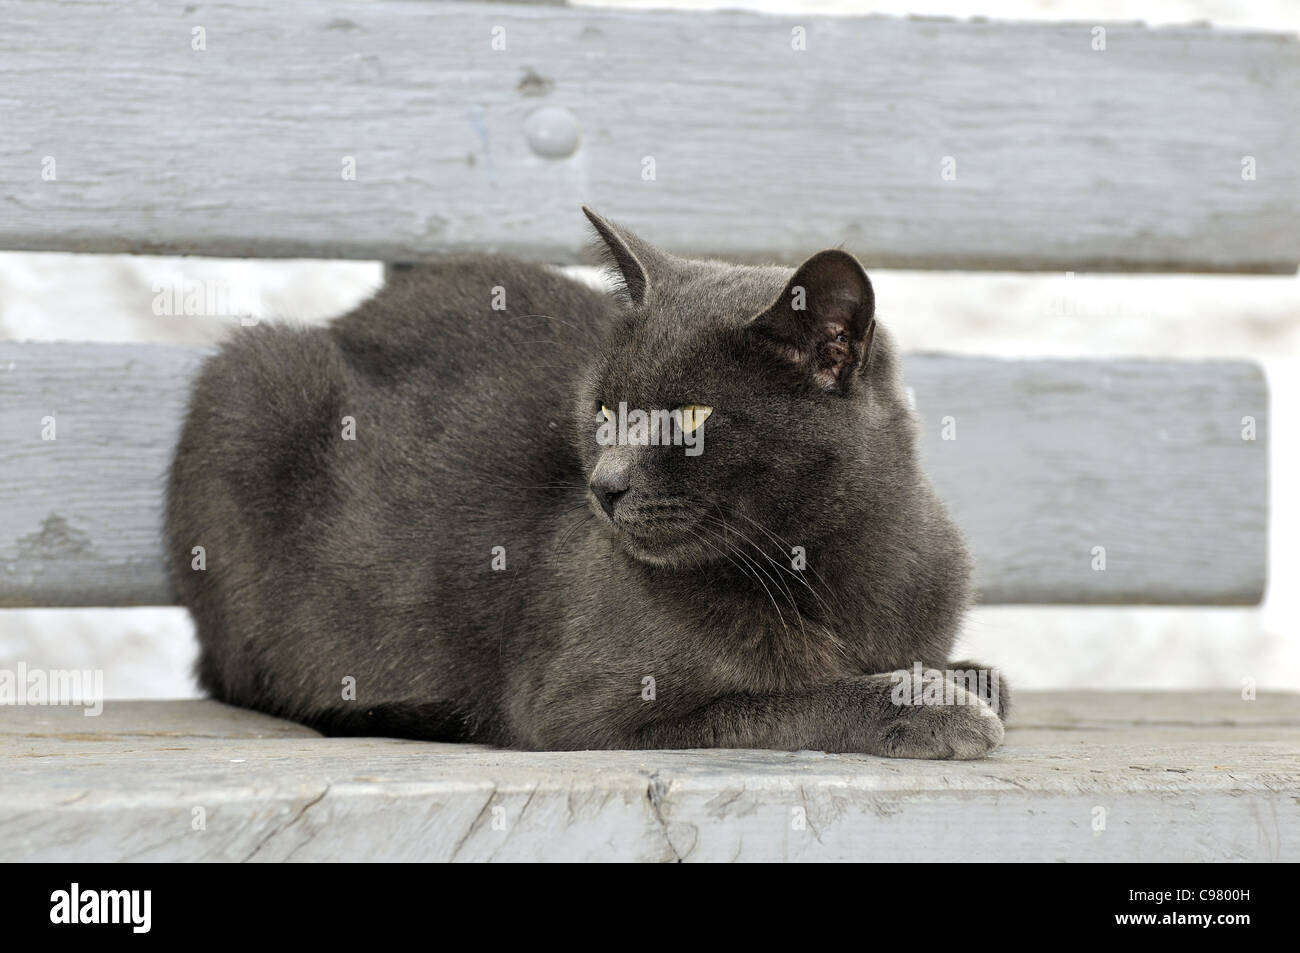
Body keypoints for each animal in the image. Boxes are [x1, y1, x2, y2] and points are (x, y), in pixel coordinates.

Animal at [167, 208, 1008, 759]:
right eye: (605, 410)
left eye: (691, 416)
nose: (603, 486)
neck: (830, 566)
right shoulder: (585, 711)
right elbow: (778, 702)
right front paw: (935, 707)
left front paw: (965, 675)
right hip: (247, 386)